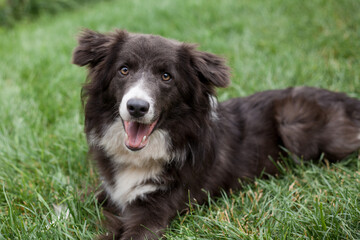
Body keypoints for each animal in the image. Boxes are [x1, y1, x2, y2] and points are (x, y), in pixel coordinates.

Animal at [72, 29, 360, 240]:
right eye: (124, 70)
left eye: (166, 76)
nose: (137, 107)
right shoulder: (109, 192)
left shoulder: (155, 209)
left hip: (294, 123)